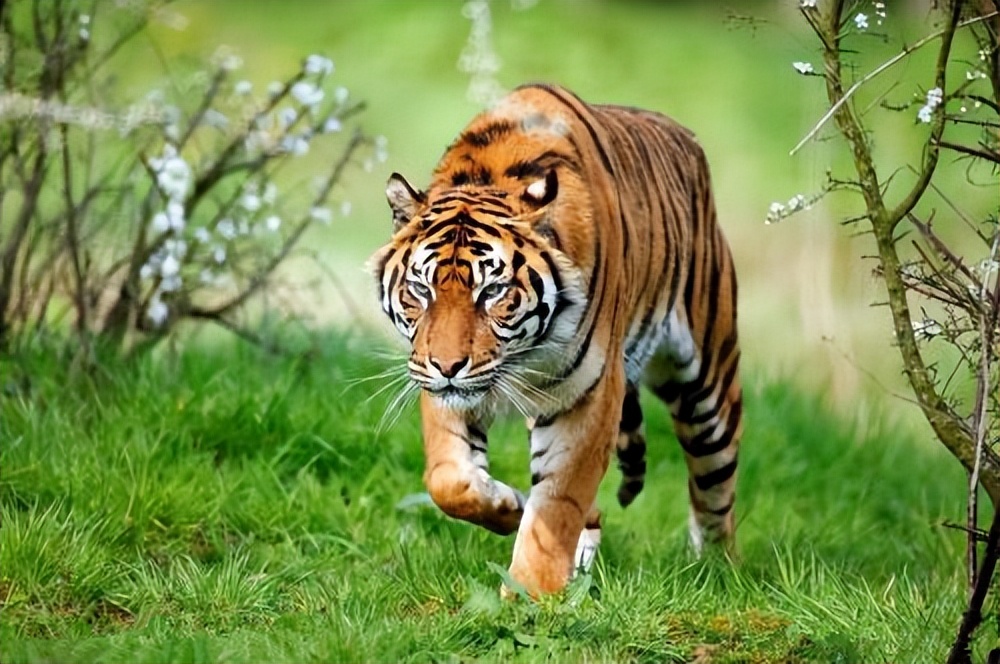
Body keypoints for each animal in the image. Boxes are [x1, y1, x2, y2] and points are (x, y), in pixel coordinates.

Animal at [371, 83, 742, 596]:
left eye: (493, 292)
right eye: (421, 289)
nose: (448, 367)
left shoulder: (588, 396)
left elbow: (557, 505)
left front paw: (530, 593)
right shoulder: (438, 384)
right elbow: (449, 481)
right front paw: (508, 507)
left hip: (708, 387)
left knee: (715, 489)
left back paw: (718, 571)